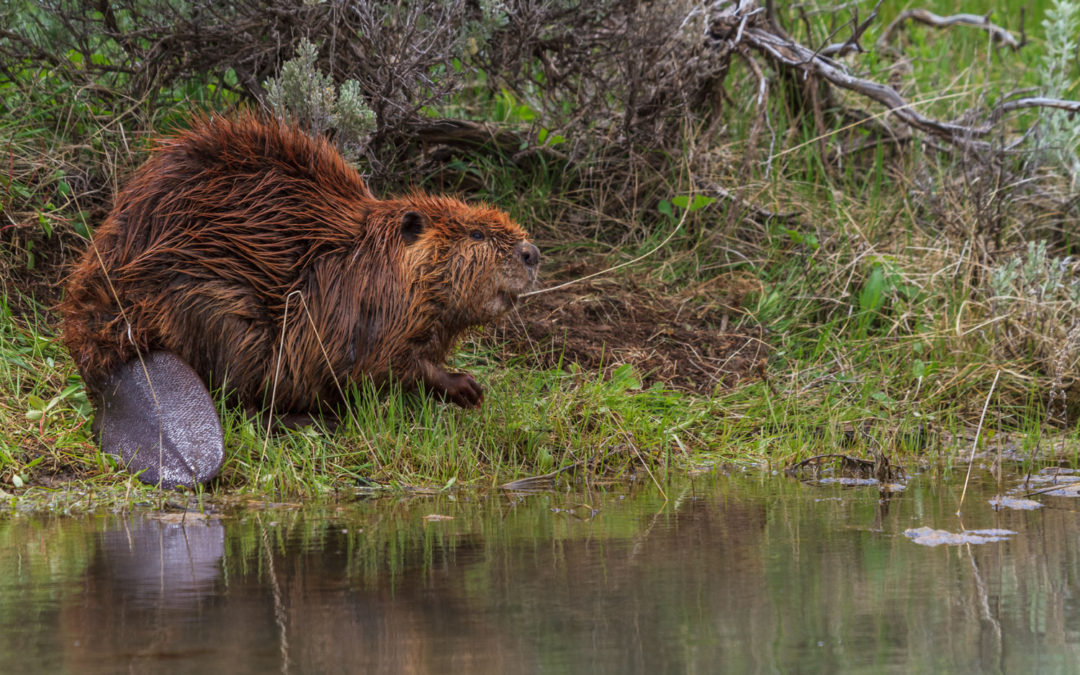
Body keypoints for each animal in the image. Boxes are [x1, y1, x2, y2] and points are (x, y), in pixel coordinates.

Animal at [61, 113, 540, 486]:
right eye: (475, 233)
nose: (531, 252)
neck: (366, 259)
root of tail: (118, 361)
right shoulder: (352, 314)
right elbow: (381, 365)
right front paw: (467, 386)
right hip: (221, 310)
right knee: (241, 404)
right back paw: (313, 421)